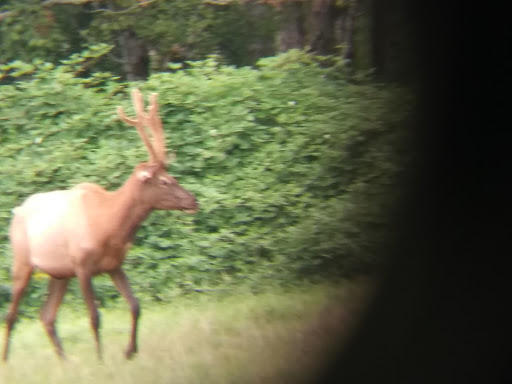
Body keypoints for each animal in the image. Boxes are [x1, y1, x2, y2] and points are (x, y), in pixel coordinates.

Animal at [2, 88, 198, 362]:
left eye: (173, 177)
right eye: (165, 181)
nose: (193, 200)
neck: (109, 227)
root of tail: (16, 211)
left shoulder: (114, 265)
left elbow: (135, 306)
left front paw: (130, 351)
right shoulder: (83, 265)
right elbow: (94, 317)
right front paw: (101, 358)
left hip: (59, 273)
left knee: (47, 315)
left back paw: (64, 360)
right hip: (22, 263)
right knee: (11, 315)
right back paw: (7, 360)